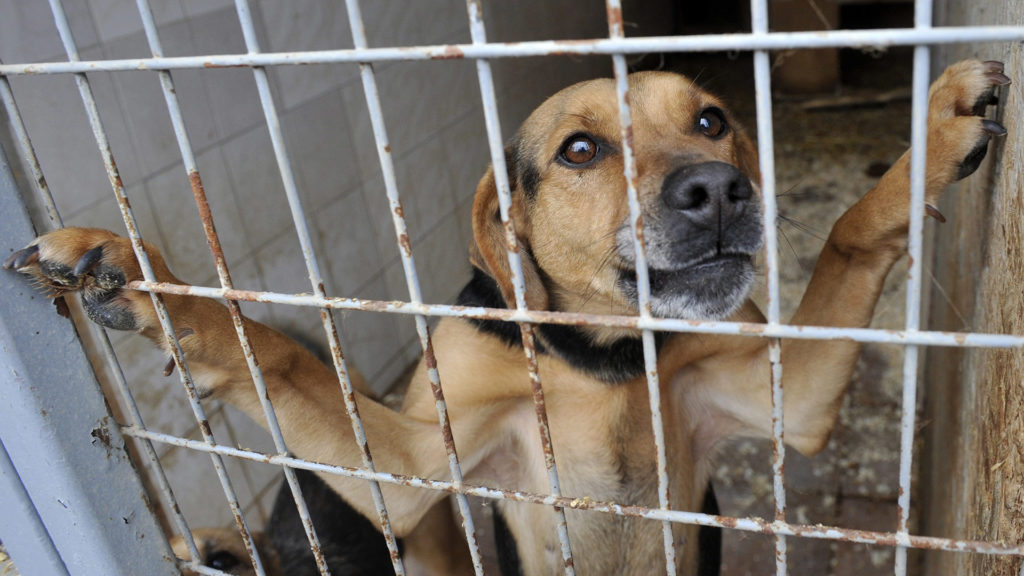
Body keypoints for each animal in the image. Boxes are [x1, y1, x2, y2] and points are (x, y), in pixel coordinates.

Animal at [2, 59, 1007, 573]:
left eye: (714, 120)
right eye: (580, 150)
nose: (722, 190)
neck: (602, 354)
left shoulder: (786, 399)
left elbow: (846, 234)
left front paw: (933, 132)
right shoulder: (410, 469)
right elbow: (278, 358)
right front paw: (151, 283)